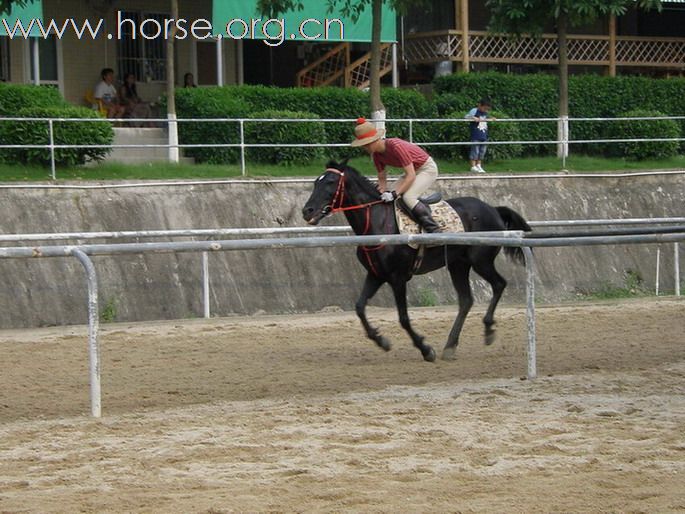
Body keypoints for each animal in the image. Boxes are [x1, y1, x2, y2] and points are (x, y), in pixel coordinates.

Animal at [302, 160, 532, 360]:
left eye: (331, 182)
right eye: (315, 182)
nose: (307, 211)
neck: (376, 223)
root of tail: (493, 209)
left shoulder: (398, 278)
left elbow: (403, 318)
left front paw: (425, 349)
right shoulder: (376, 275)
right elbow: (359, 307)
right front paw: (381, 340)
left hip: (480, 261)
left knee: (499, 284)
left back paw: (488, 329)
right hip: (458, 265)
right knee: (466, 300)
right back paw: (450, 346)